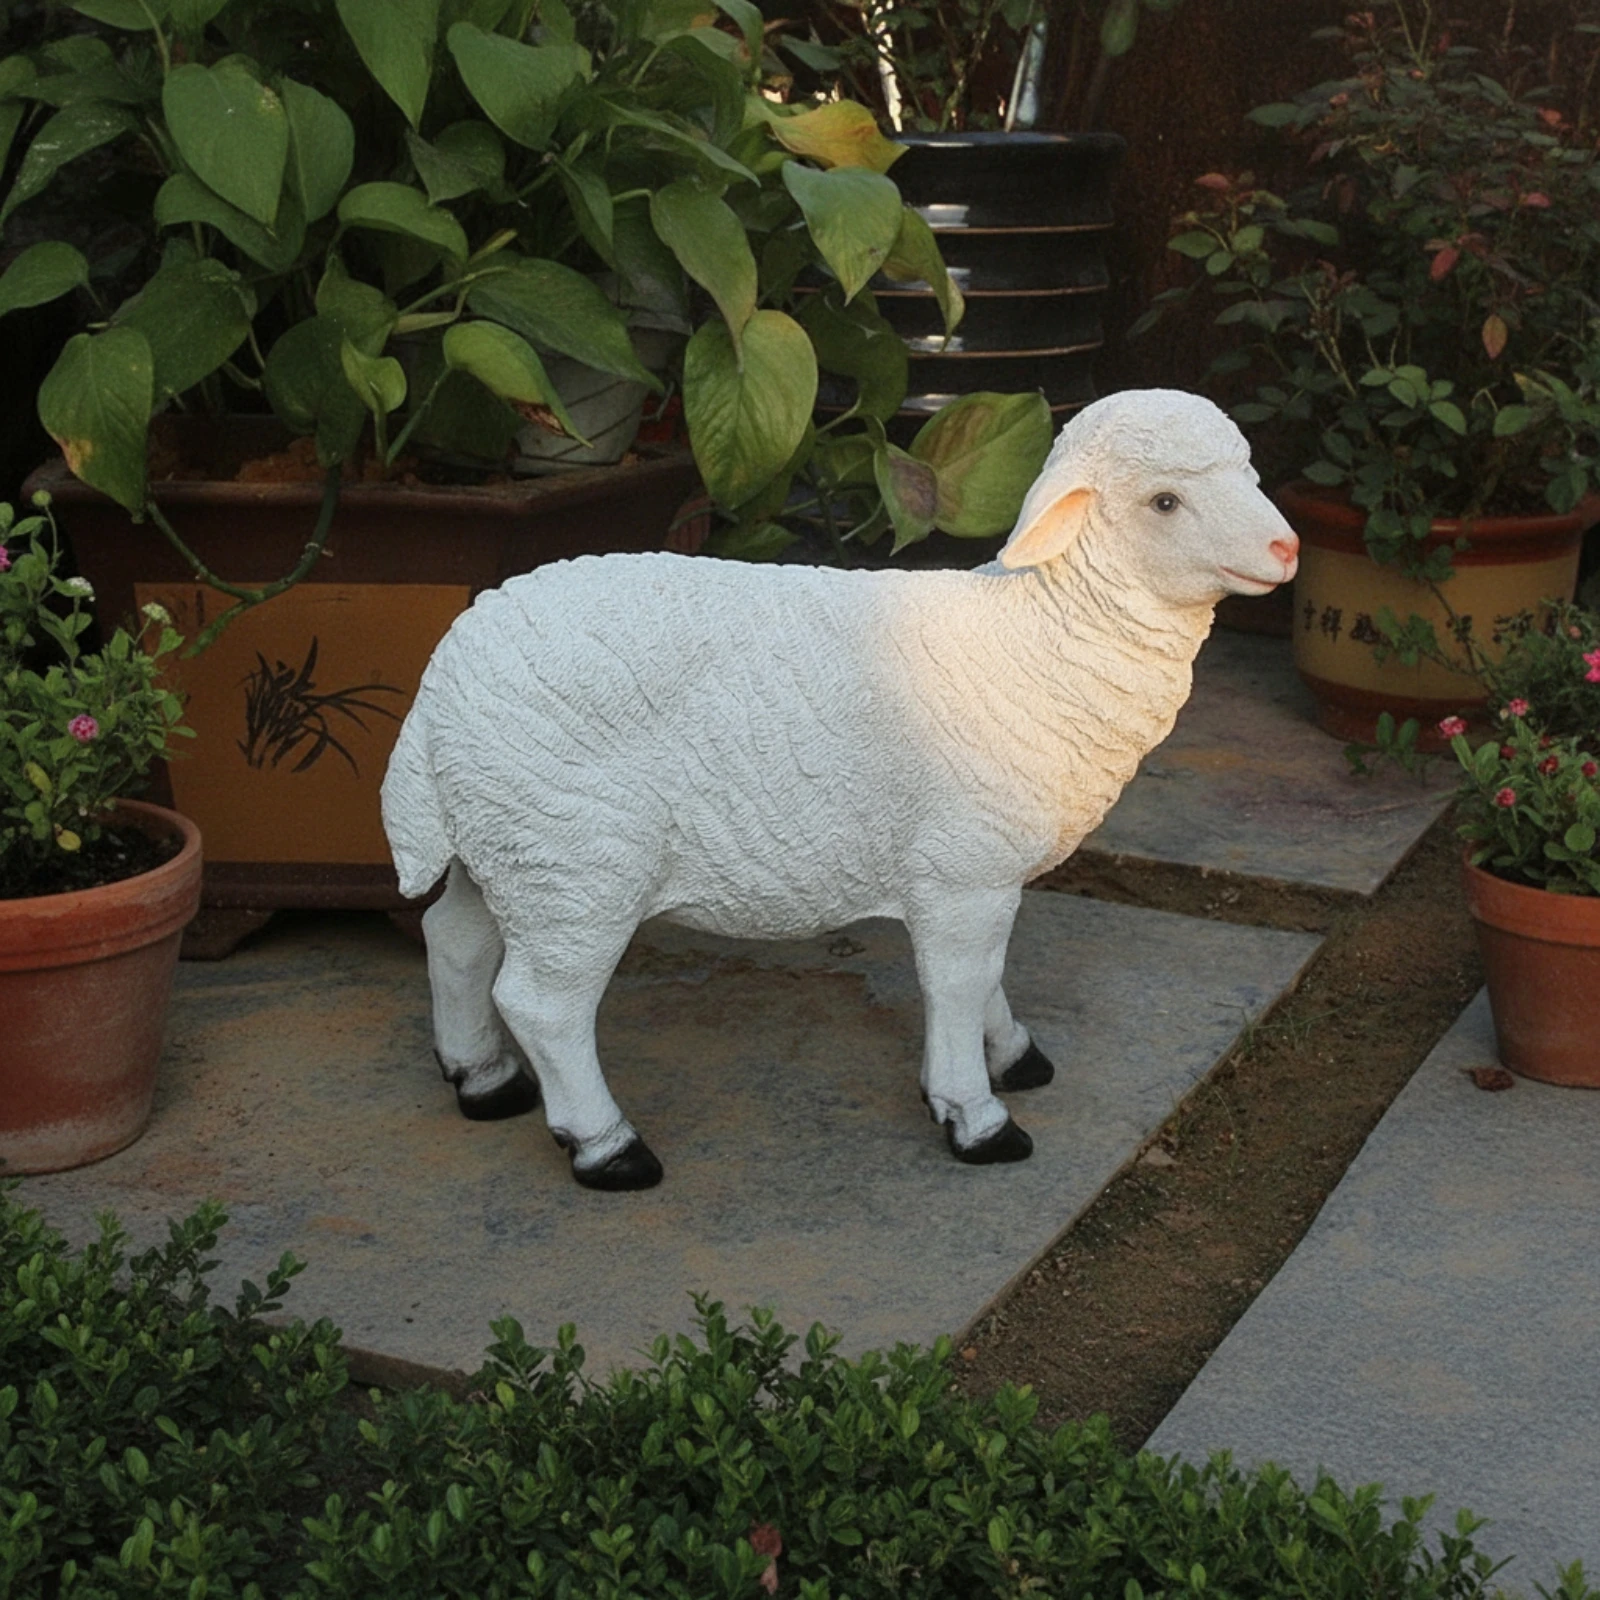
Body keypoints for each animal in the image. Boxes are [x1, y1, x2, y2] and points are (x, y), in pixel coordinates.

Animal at [381, 387, 1300, 1191]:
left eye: (1251, 472)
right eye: (1165, 502)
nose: (1287, 552)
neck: (1039, 633)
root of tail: (444, 673)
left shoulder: (978, 872)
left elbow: (987, 976)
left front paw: (1011, 1054)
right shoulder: (962, 868)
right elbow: (957, 983)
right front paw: (974, 1116)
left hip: (513, 838)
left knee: (454, 940)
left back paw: (483, 1079)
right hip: (579, 857)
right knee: (544, 1003)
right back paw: (606, 1147)